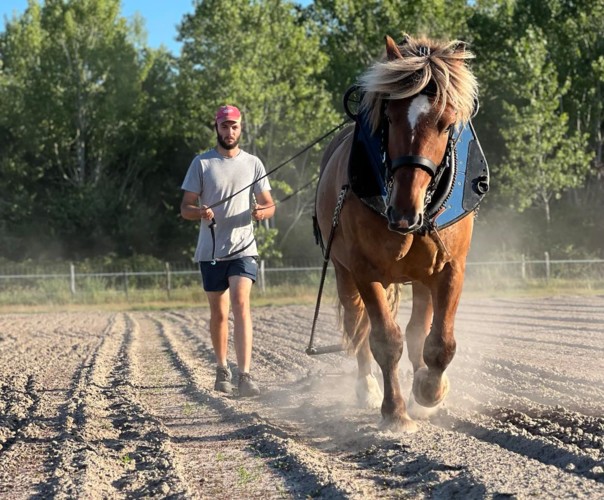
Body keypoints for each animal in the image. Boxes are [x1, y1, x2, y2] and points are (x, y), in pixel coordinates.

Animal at [316, 36, 482, 434]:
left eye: (446, 123)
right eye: (389, 118)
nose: (404, 213)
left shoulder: (450, 267)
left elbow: (439, 341)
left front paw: (430, 390)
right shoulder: (365, 271)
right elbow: (384, 341)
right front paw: (395, 412)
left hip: (421, 276)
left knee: (417, 330)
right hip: (344, 273)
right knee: (357, 326)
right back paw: (367, 387)